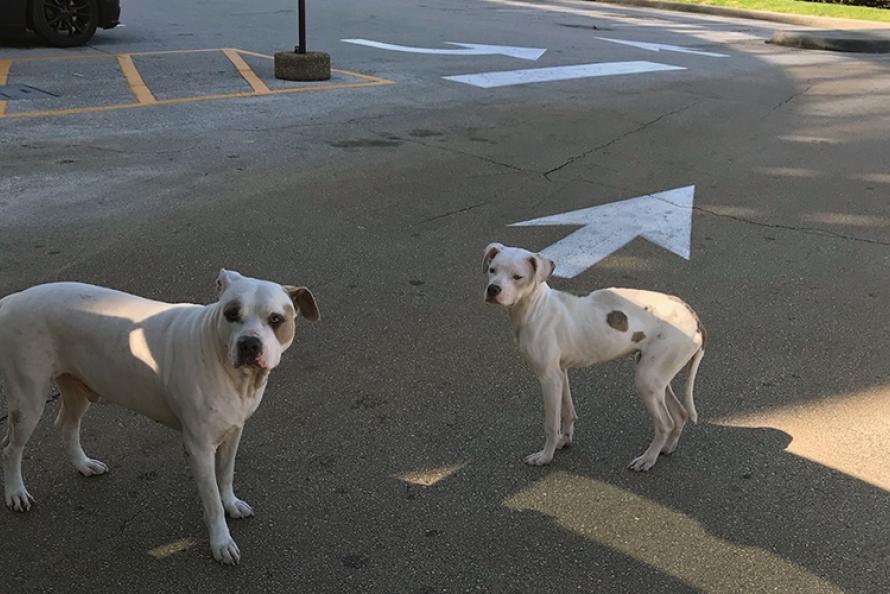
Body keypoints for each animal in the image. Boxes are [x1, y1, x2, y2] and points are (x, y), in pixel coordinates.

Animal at [0, 270, 320, 560]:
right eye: (231, 313)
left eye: (276, 319)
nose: (249, 343)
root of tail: (13, 298)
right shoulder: (199, 447)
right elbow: (212, 501)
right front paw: (221, 542)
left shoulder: (233, 431)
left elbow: (226, 475)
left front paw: (231, 502)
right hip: (28, 400)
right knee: (11, 449)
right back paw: (16, 492)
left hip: (77, 387)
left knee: (66, 425)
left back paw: (83, 464)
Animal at [482, 243, 704, 470]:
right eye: (492, 270)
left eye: (518, 276)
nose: (493, 289)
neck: (537, 308)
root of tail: (692, 314)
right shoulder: (561, 373)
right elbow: (567, 412)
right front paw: (564, 441)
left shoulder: (549, 378)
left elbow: (551, 424)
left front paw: (545, 456)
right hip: (657, 378)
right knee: (680, 414)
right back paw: (666, 449)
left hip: (647, 380)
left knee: (665, 424)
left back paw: (648, 459)